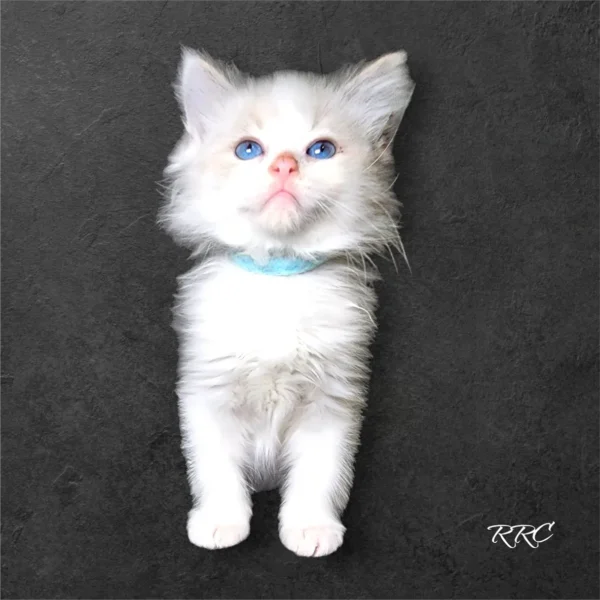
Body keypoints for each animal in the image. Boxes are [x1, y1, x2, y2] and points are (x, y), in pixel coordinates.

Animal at [159, 48, 412, 556]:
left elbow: (322, 474)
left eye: (321, 150)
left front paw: (311, 528)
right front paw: (220, 522)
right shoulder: (207, 391)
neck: (278, 279)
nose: (284, 166)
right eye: (248, 149)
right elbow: (215, 469)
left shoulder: (334, 399)